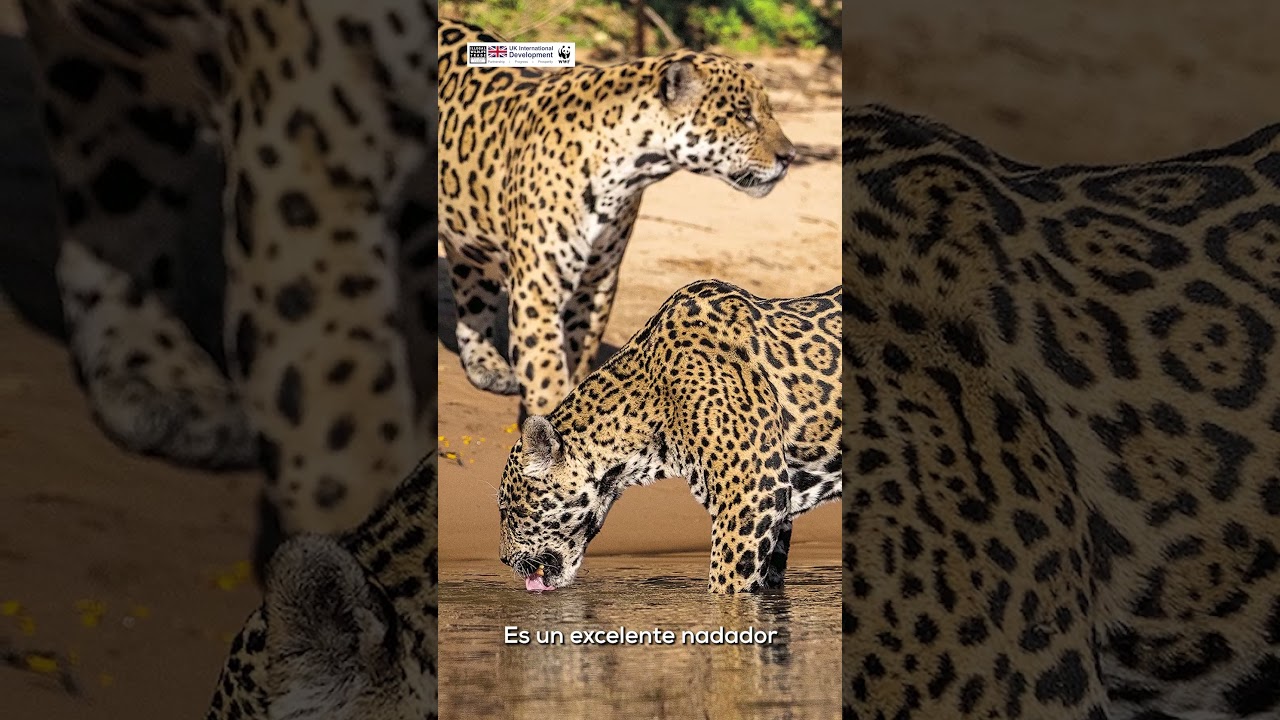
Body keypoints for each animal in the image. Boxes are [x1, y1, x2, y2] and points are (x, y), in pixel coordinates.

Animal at [438, 19, 798, 418]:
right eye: (744, 115)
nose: (790, 157)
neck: (631, 169)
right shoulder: (539, 285)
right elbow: (545, 369)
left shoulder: (596, 282)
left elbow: (577, 355)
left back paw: (487, 365)